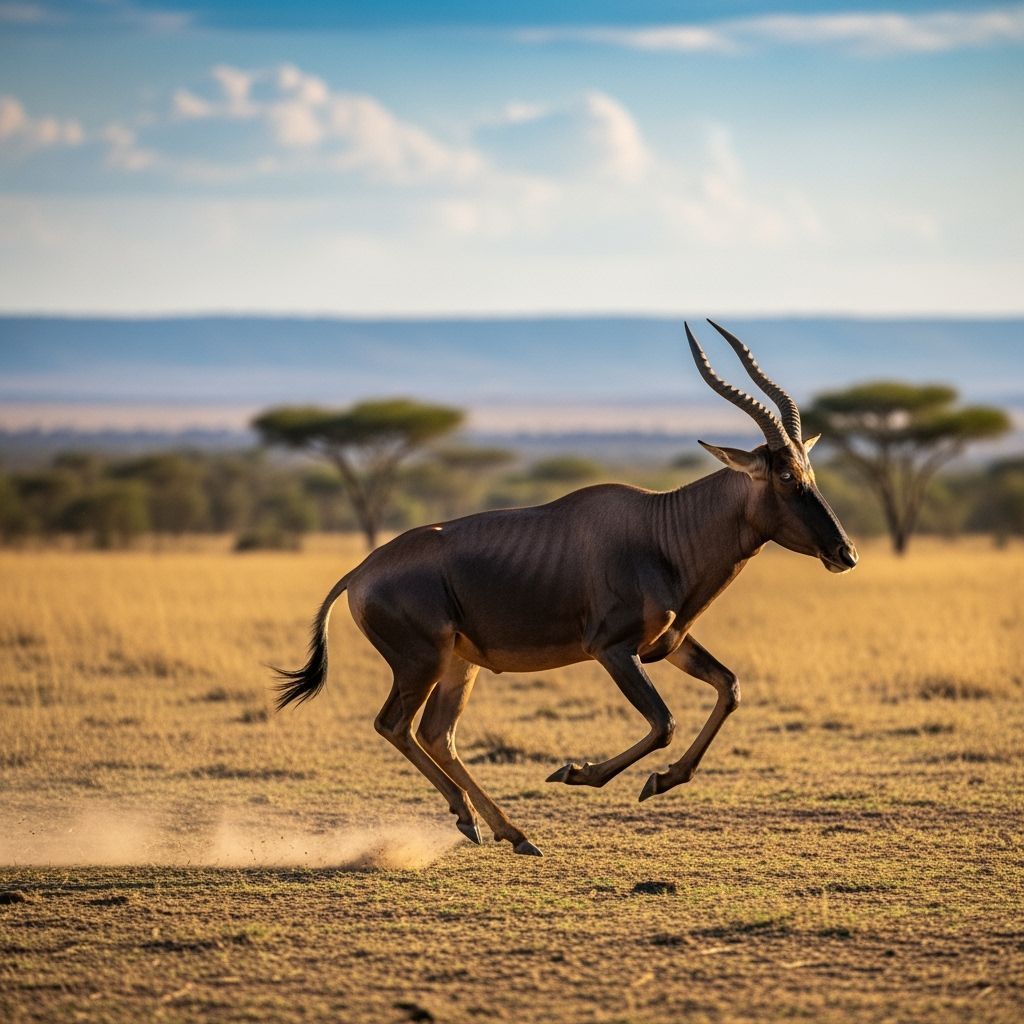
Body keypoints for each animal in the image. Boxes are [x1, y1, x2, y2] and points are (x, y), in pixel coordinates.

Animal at [275, 321, 858, 856]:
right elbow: (664, 722)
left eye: (810, 470)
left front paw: (661, 781)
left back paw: (510, 833)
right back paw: (474, 821)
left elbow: (729, 688)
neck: (660, 529)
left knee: (438, 734)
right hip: (423, 662)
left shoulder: (667, 646)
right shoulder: (613, 650)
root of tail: (360, 572)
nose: (844, 553)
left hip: (459, 664)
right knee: (395, 725)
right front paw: (577, 773)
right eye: (785, 476)